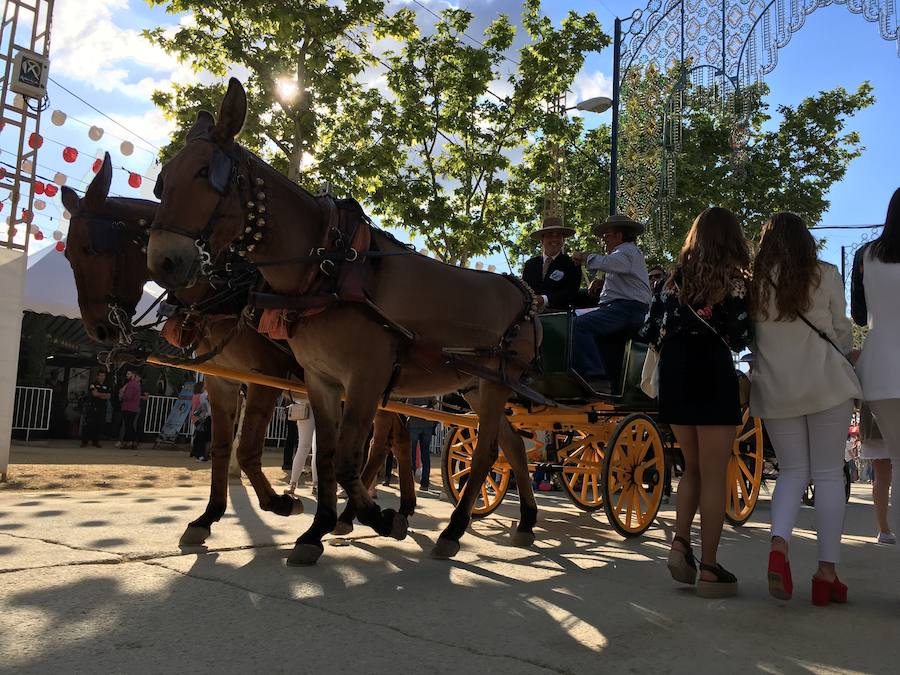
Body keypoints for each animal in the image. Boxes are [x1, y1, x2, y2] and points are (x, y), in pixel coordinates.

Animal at [147, 78, 536, 564]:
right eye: (163, 179)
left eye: (204, 173)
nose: (164, 261)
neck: (328, 269)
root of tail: (527, 292)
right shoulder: (317, 379)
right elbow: (326, 456)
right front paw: (316, 528)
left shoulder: (361, 377)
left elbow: (346, 457)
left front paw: (378, 518)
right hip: (476, 387)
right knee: (512, 446)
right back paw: (524, 521)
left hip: (497, 384)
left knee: (484, 454)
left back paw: (452, 528)